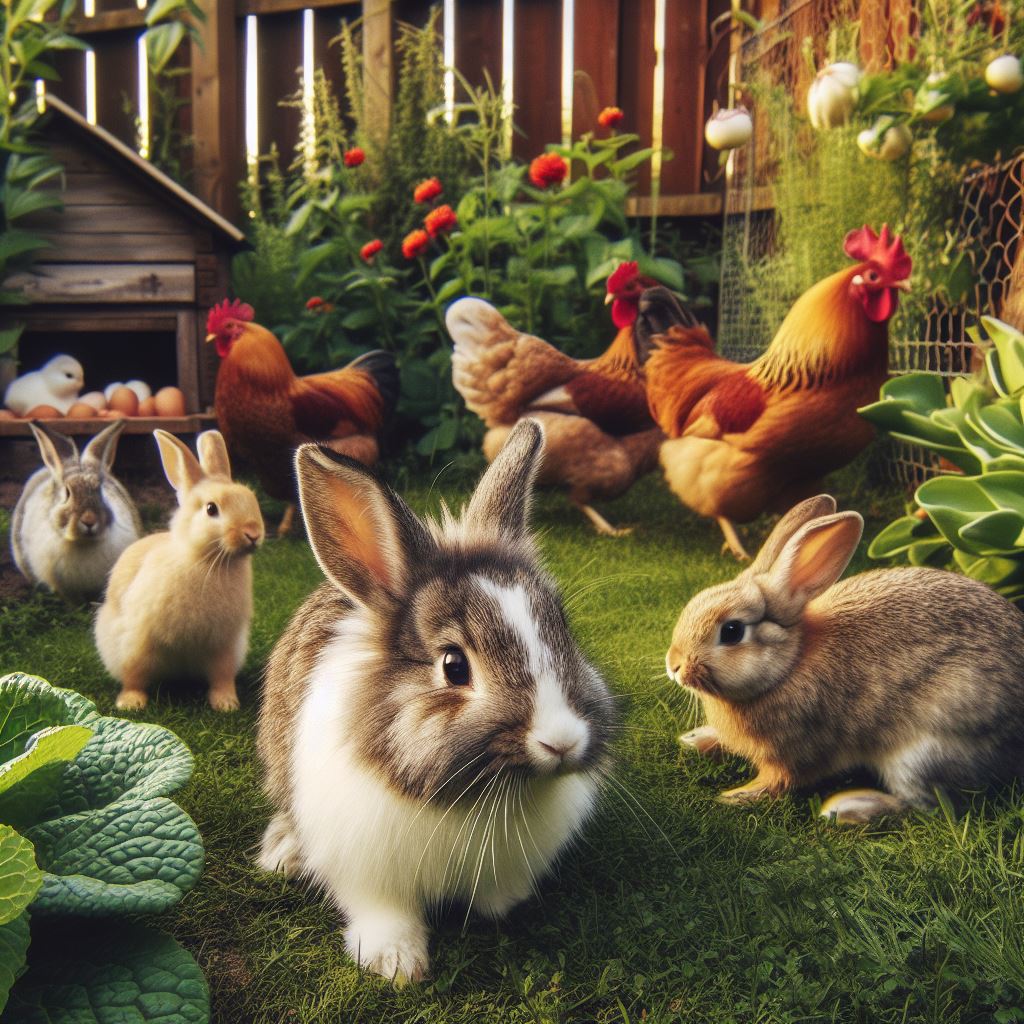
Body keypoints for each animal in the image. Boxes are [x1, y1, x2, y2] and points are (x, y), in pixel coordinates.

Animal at [94, 430, 266, 712]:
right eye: (211, 509)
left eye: (251, 499)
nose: (253, 533)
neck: (206, 560)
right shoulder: (137, 641)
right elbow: (134, 675)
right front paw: (130, 703)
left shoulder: (224, 645)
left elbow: (222, 677)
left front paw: (226, 704)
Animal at [256, 421, 614, 983]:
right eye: (453, 666)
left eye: (564, 636)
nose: (562, 742)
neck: (476, 796)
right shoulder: (368, 870)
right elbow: (384, 912)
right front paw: (396, 963)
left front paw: (504, 906)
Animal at [663, 495, 1024, 823]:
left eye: (732, 631)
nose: (674, 666)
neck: (790, 664)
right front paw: (697, 739)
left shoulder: (794, 755)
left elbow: (778, 782)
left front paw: (735, 796)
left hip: (922, 753)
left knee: (928, 807)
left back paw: (847, 808)